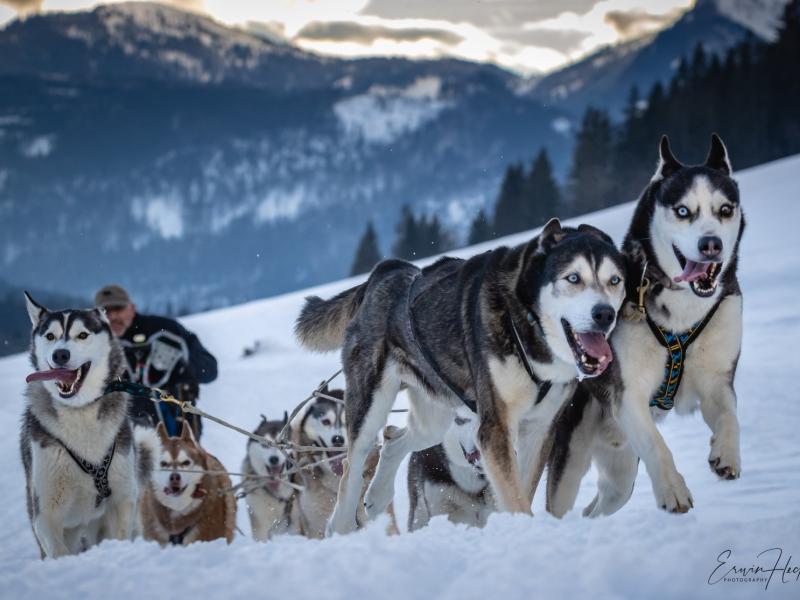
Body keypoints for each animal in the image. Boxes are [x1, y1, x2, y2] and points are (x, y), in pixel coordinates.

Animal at [19, 292, 138, 560]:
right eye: (50, 336)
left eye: (82, 335)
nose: (60, 355)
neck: (80, 412)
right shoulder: (46, 514)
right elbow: (59, 552)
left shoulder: (122, 498)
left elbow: (121, 534)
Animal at [296, 221, 628, 536]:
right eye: (573, 278)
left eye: (615, 280)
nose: (604, 314)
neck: (526, 326)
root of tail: (387, 270)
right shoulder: (495, 429)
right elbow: (514, 496)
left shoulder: (538, 428)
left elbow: (519, 488)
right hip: (371, 405)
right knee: (353, 464)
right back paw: (340, 526)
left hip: (435, 420)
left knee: (393, 439)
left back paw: (377, 496)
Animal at [548, 135, 748, 516]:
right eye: (683, 211)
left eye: (725, 210)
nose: (711, 245)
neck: (684, 311)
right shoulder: (629, 396)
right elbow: (658, 445)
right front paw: (673, 490)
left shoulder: (717, 380)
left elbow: (731, 415)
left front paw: (725, 453)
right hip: (571, 464)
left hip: (621, 474)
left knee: (599, 504)